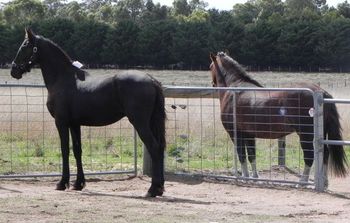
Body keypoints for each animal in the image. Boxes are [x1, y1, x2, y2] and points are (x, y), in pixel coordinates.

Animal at [9, 28, 165, 198]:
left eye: (25, 46)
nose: (13, 70)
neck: (64, 78)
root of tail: (151, 80)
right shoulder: (74, 124)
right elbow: (77, 150)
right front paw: (78, 184)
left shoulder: (61, 122)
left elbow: (65, 150)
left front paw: (62, 183)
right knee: (160, 148)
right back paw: (160, 187)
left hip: (140, 122)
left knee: (154, 147)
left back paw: (152, 189)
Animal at [209, 51, 346, 185]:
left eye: (210, 67)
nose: (213, 85)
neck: (234, 90)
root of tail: (322, 92)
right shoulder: (248, 134)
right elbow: (252, 155)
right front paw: (255, 177)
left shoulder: (235, 134)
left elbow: (241, 155)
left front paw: (245, 177)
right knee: (325, 154)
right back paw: (324, 181)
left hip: (306, 134)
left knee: (309, 156)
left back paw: (302, 182)